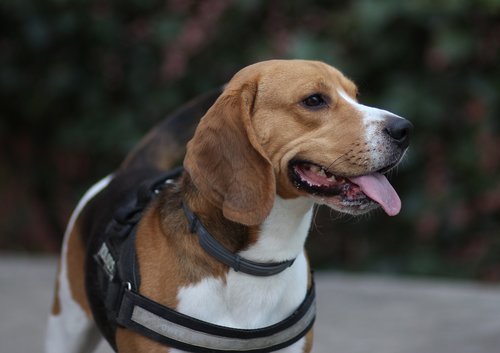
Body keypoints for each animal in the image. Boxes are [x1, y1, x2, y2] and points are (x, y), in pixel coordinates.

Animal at [47, 59, 412, 350]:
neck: (255, 263)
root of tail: (133, 170)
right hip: (65, 328)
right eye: (314, 100)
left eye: (356, 96)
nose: (405, 129)